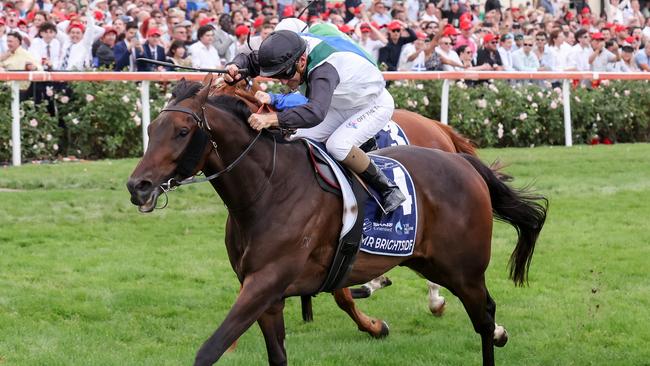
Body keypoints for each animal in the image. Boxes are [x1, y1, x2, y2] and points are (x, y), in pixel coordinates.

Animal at [128, 76, 548, 364]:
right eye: (150, 129)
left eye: (182, 131)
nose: (138, 185)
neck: (268, 189)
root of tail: (461, 161)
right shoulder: (267, 294)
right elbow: (278, 352)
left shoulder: (266, 282)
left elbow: (210, 349)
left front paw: (374, 323)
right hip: (432, 261)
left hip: (463, 269)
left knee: (484, 316)